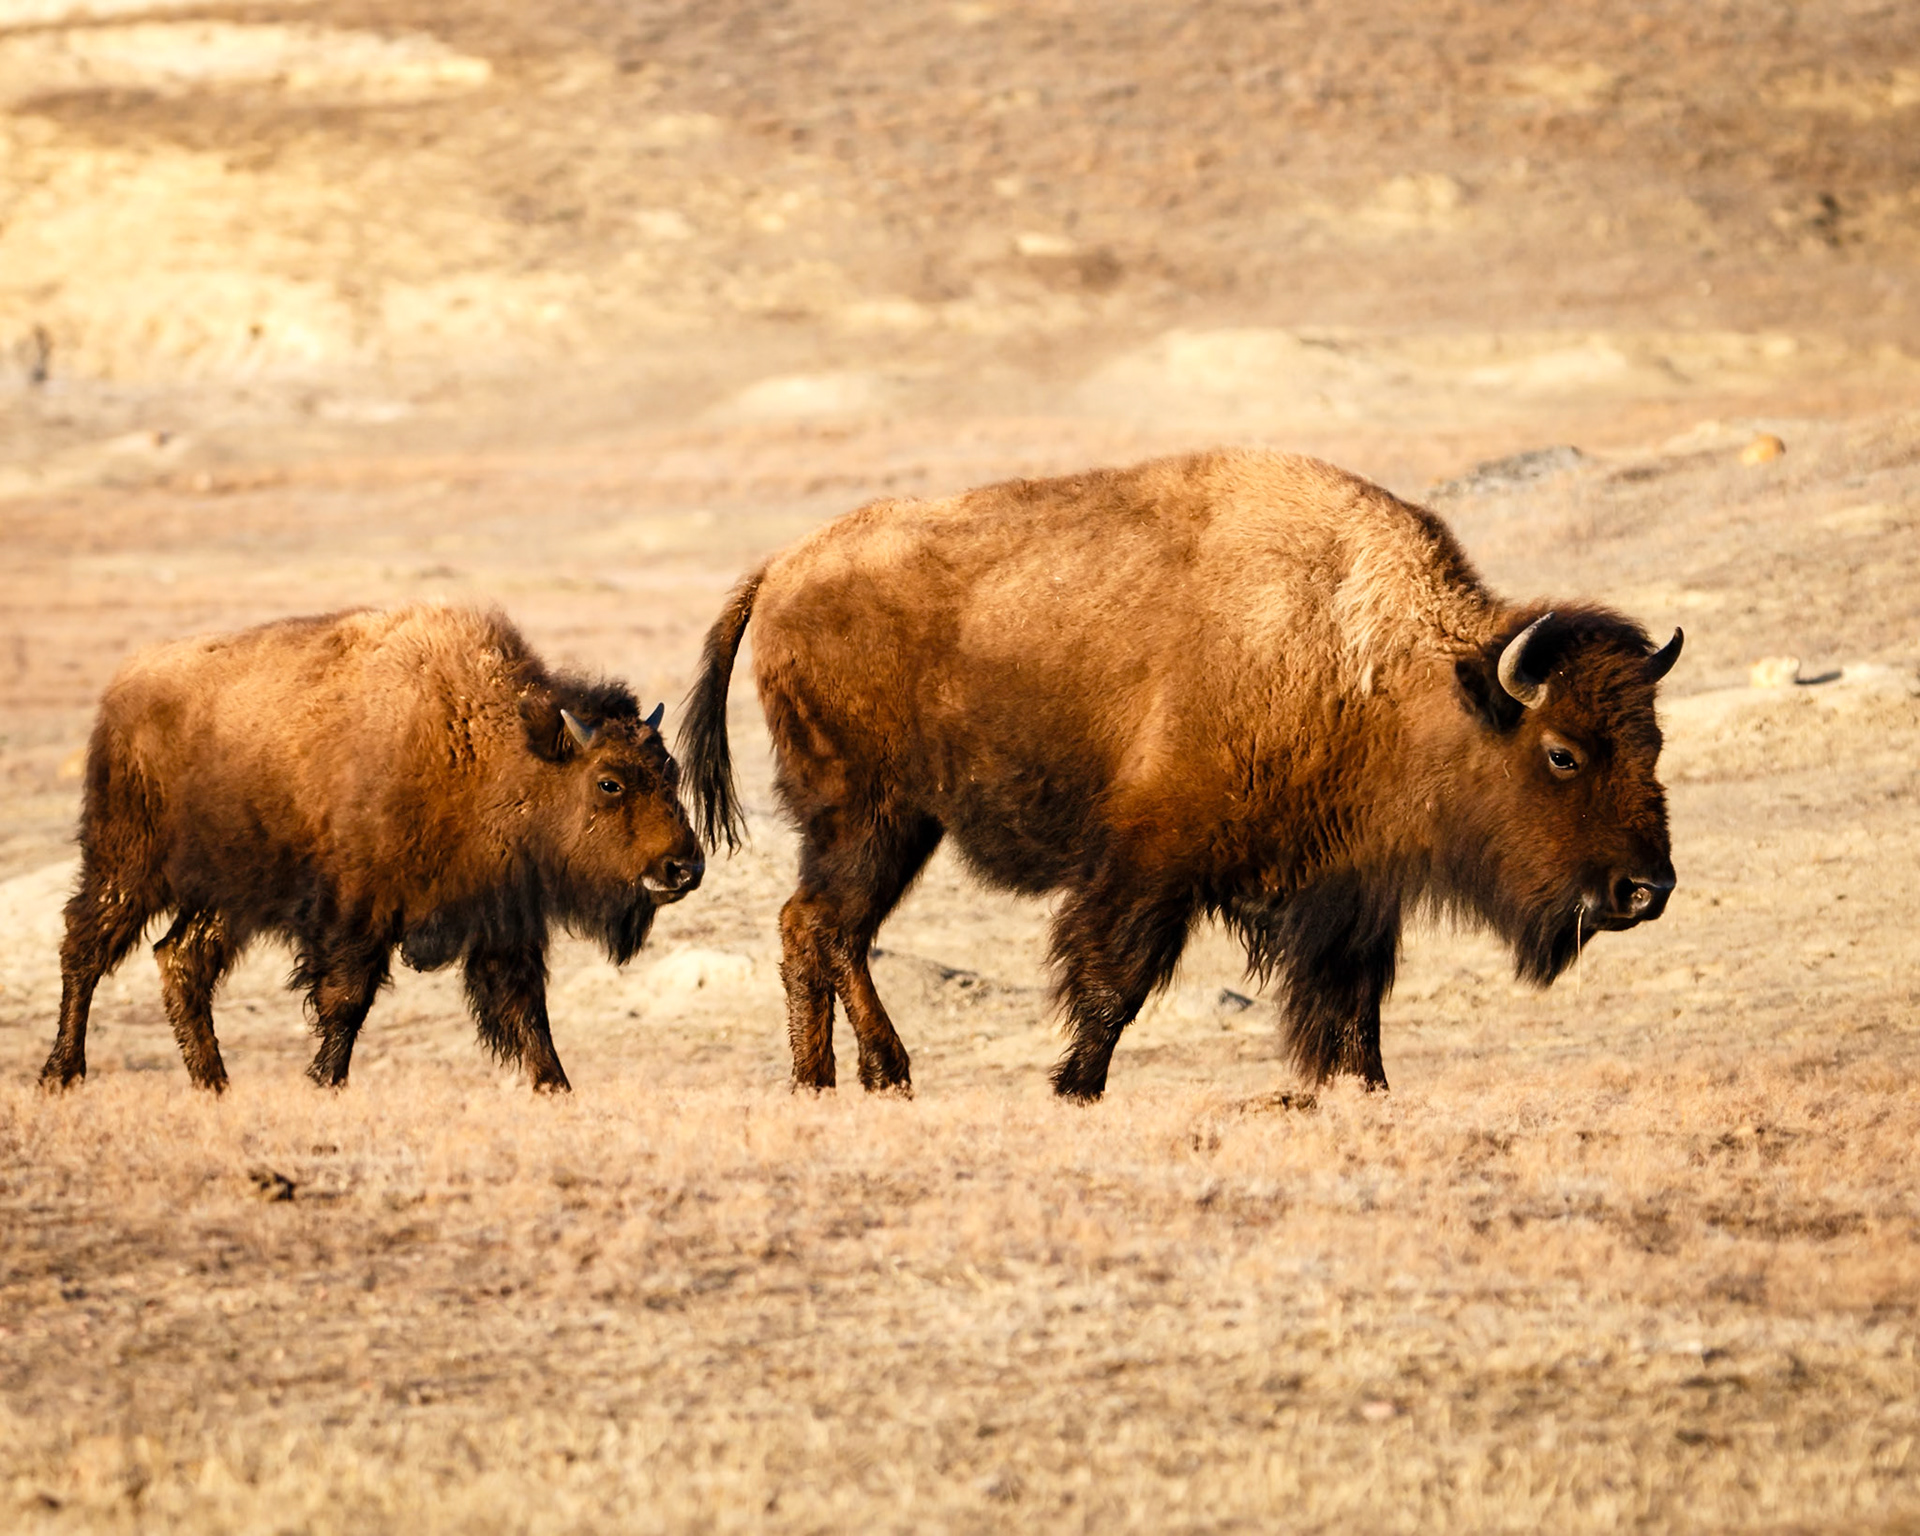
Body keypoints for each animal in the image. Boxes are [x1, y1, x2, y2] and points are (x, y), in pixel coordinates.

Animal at [41, 604, 703, 1093]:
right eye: (610, 782)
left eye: (671, 772)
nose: (683, 868)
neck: (486, 748)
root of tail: (124, 688)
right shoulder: (357, 913)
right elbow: (346, 1000)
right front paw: (325, 1082)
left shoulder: (502, 918)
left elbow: (526, 1010)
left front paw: (556, 1088)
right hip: (127, 865)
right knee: (85, 948)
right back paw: (62, 1075)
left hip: (224, 898)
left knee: (180, 961)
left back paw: (215, 1086)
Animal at [681, 449, 1681, 1099]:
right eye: (1561, 752)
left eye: (1654, 744)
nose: (1647, 889)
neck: (1384, 664)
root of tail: (781, 569)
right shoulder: (1153, 860)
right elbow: (1114, 979)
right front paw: (1074, 1086)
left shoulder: (1350, 885)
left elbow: (1352, 1000)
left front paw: (1365, 1087)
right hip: (869, 817)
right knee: (822, 926)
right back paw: (866, 1075)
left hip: (893, 827)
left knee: (824, 930)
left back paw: (842, 1080)